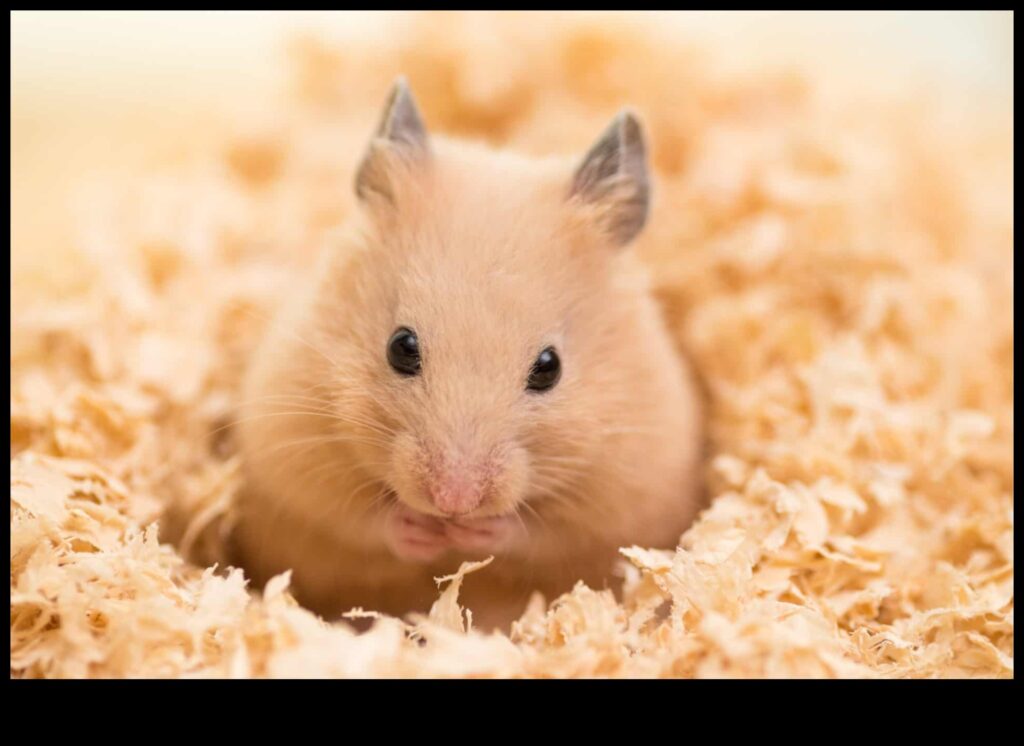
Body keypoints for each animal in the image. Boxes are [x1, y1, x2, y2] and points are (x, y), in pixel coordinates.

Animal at [230, 78, 704, 630]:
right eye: (401, 346)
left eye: (549, 368)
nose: (453, 502)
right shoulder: (290, 446)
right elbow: (355, 516)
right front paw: (421, 529)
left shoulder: (630, 487)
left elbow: (545, 535)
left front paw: (475, 533)